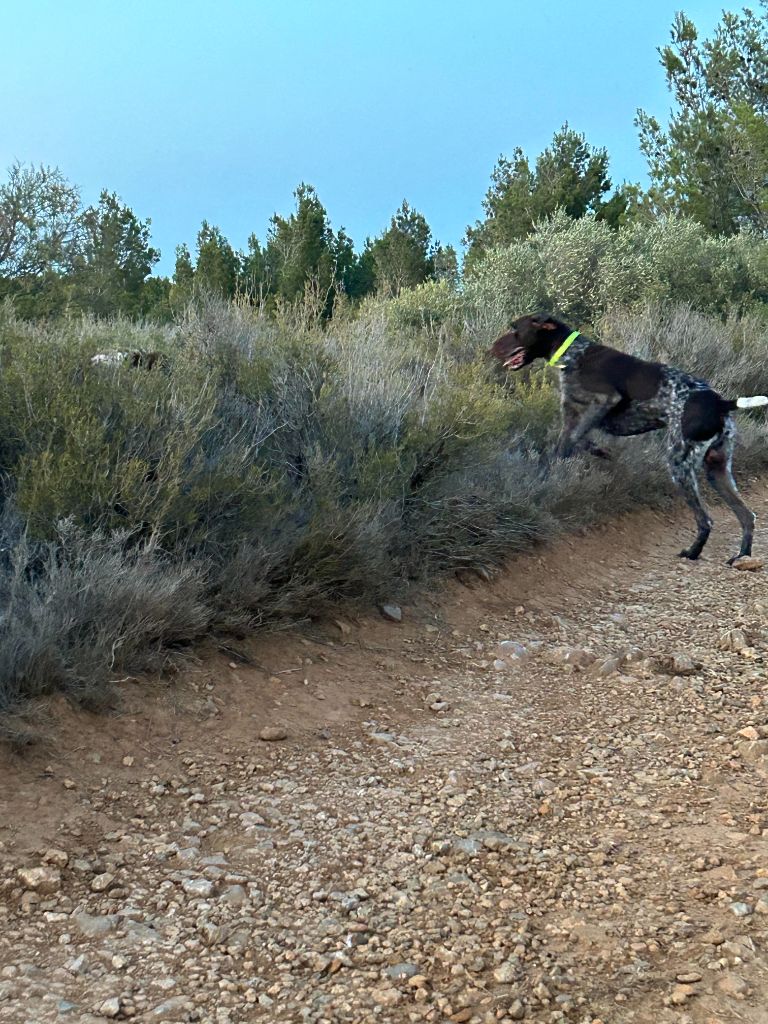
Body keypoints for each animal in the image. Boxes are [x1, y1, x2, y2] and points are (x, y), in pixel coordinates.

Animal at [493, 313, 768, 565]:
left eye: (515, 329)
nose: (492, 349)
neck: (574, 353)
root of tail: (721, 403)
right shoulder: (579, 418)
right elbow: (579, 441)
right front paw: (600, 452)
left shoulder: (601, 402)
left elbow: (564, 446)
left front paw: (548, 477)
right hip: (717, 470)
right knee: (747, 516)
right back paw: (742, 556)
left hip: (680, 464)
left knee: (706, 520)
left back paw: (693, 553)